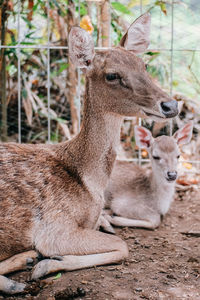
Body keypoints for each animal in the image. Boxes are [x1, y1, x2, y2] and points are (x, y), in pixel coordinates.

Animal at [0, 13, 178, 292]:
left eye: (144, 65)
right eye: (112, 75)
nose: (171, 105)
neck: (91, 183)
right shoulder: (54, 228)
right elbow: (123, 246)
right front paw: (48, 264)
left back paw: (26, 259)